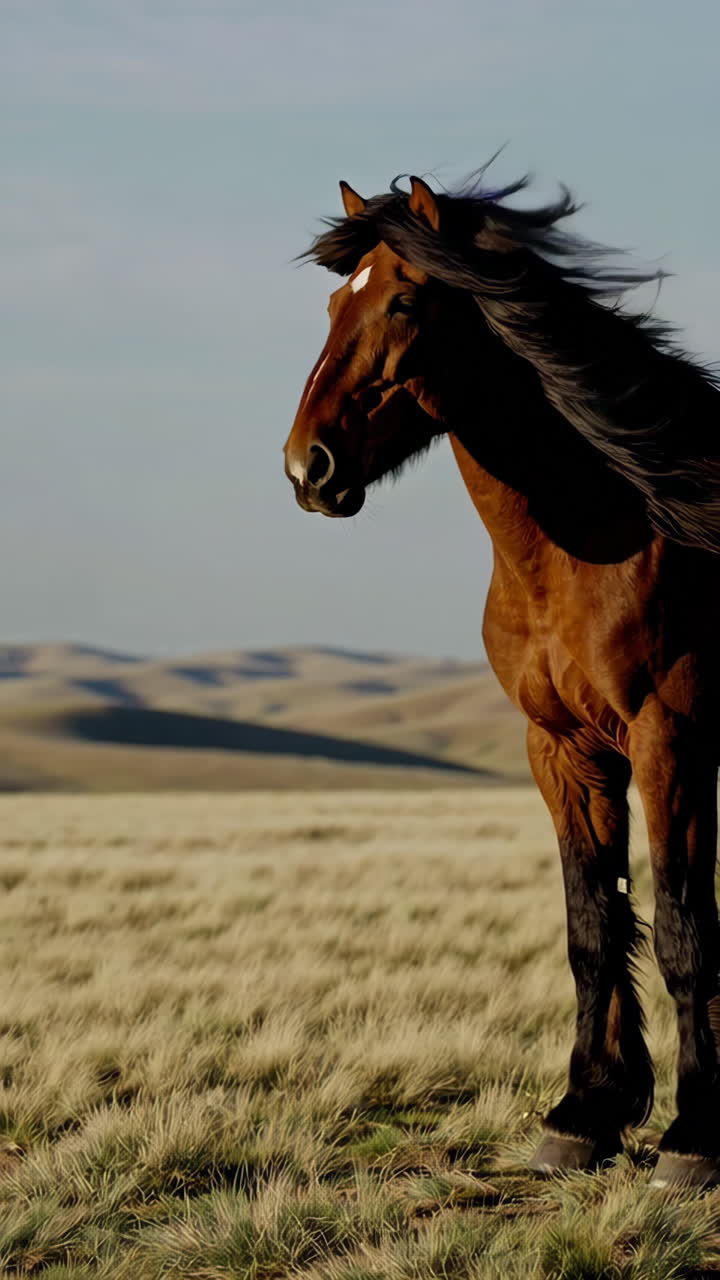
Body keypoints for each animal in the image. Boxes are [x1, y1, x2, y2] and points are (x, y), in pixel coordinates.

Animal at [283, 171, 720, 1187]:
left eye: (405, 302)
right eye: (331, 305)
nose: (307, 467)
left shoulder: (669, 739)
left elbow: (682, 930)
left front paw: (694, 1137)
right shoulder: (561, 749)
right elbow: (592, 925)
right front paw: (587, 1112)